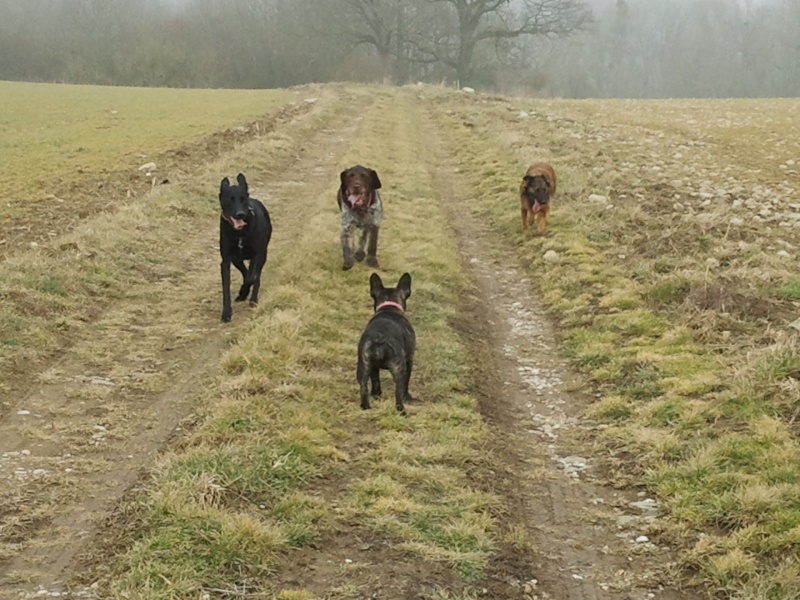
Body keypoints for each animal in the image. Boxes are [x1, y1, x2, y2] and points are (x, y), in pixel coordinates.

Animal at [219, 172, 272, 322]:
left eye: (243, 199)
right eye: (230, 200)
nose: (240, 214)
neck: (240, 233)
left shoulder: (256, 255)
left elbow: (250, 277)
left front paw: (245, 291)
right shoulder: (227, 260)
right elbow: (227, 287)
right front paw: (226, 313)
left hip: (263, 255)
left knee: (255, 276)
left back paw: (253, 299)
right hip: (237, 259)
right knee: (245, 271)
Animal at [358, 274, 416, 414]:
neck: (389, 307)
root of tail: (380, 338)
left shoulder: (373, 368)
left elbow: (375, 381)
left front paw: (376, 395)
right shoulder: (409, 360)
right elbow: (407, 382)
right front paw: (408, 397)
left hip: (364, 365)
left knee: (364, 387)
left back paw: (366, 406)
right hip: (399, 369)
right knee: (399, 393)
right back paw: (402, 411)